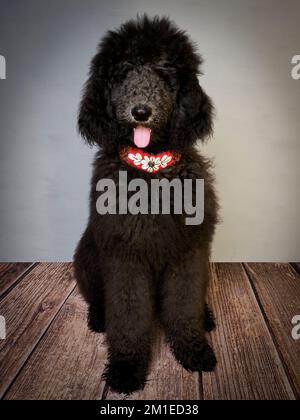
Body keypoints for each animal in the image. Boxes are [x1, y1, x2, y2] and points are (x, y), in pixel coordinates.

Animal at [74, 13, 219, 394]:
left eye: (165, 72)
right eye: (123, 72)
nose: (141, 111)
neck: (151, 174)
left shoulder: (188, 252)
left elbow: (183, 307)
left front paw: (193, 349)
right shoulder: (125, 256)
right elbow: (127, 316)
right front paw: (127, 367)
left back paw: (206, 316)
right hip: (87, 257)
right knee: (99, 298)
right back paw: (98, 317)